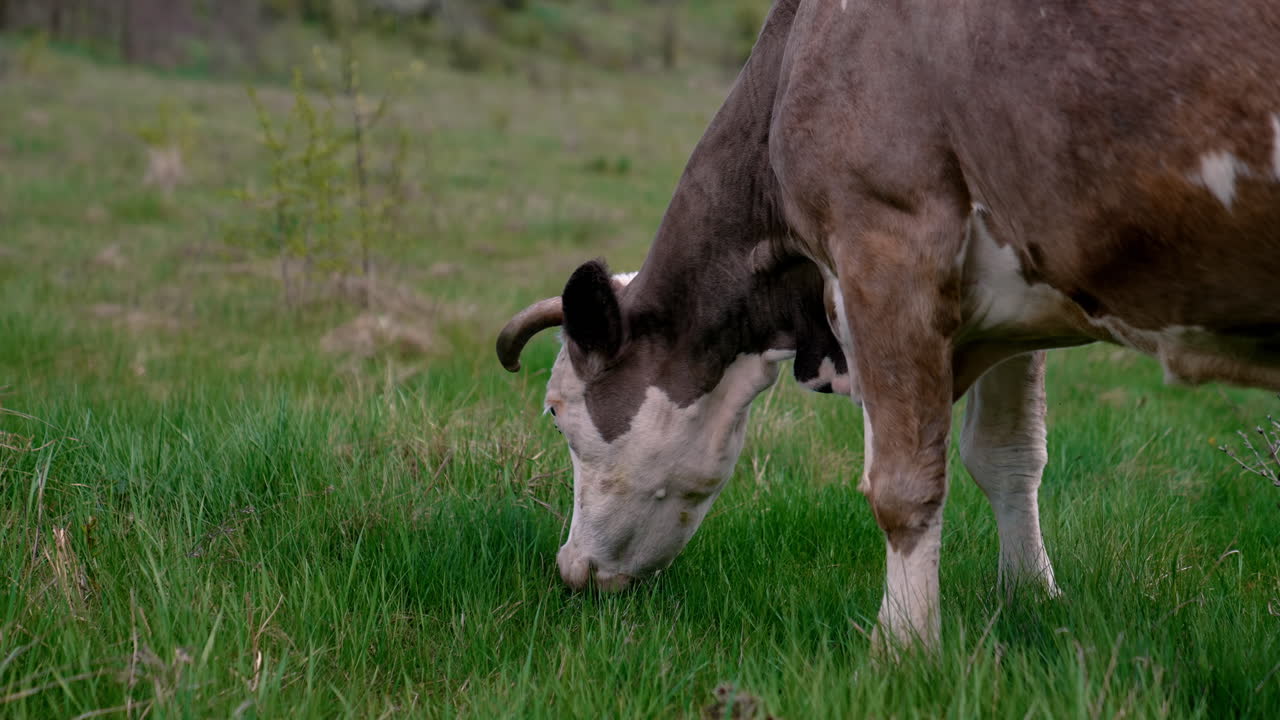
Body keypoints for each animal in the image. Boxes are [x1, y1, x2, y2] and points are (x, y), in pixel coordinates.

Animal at [496, 0, 1280, 652]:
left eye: (557, 411)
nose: (572, 568)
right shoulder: (1016, 300)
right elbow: (1008, 455)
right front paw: (1032, 594)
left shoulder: (885, 245)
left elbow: (903, 486)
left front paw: (903, 651)